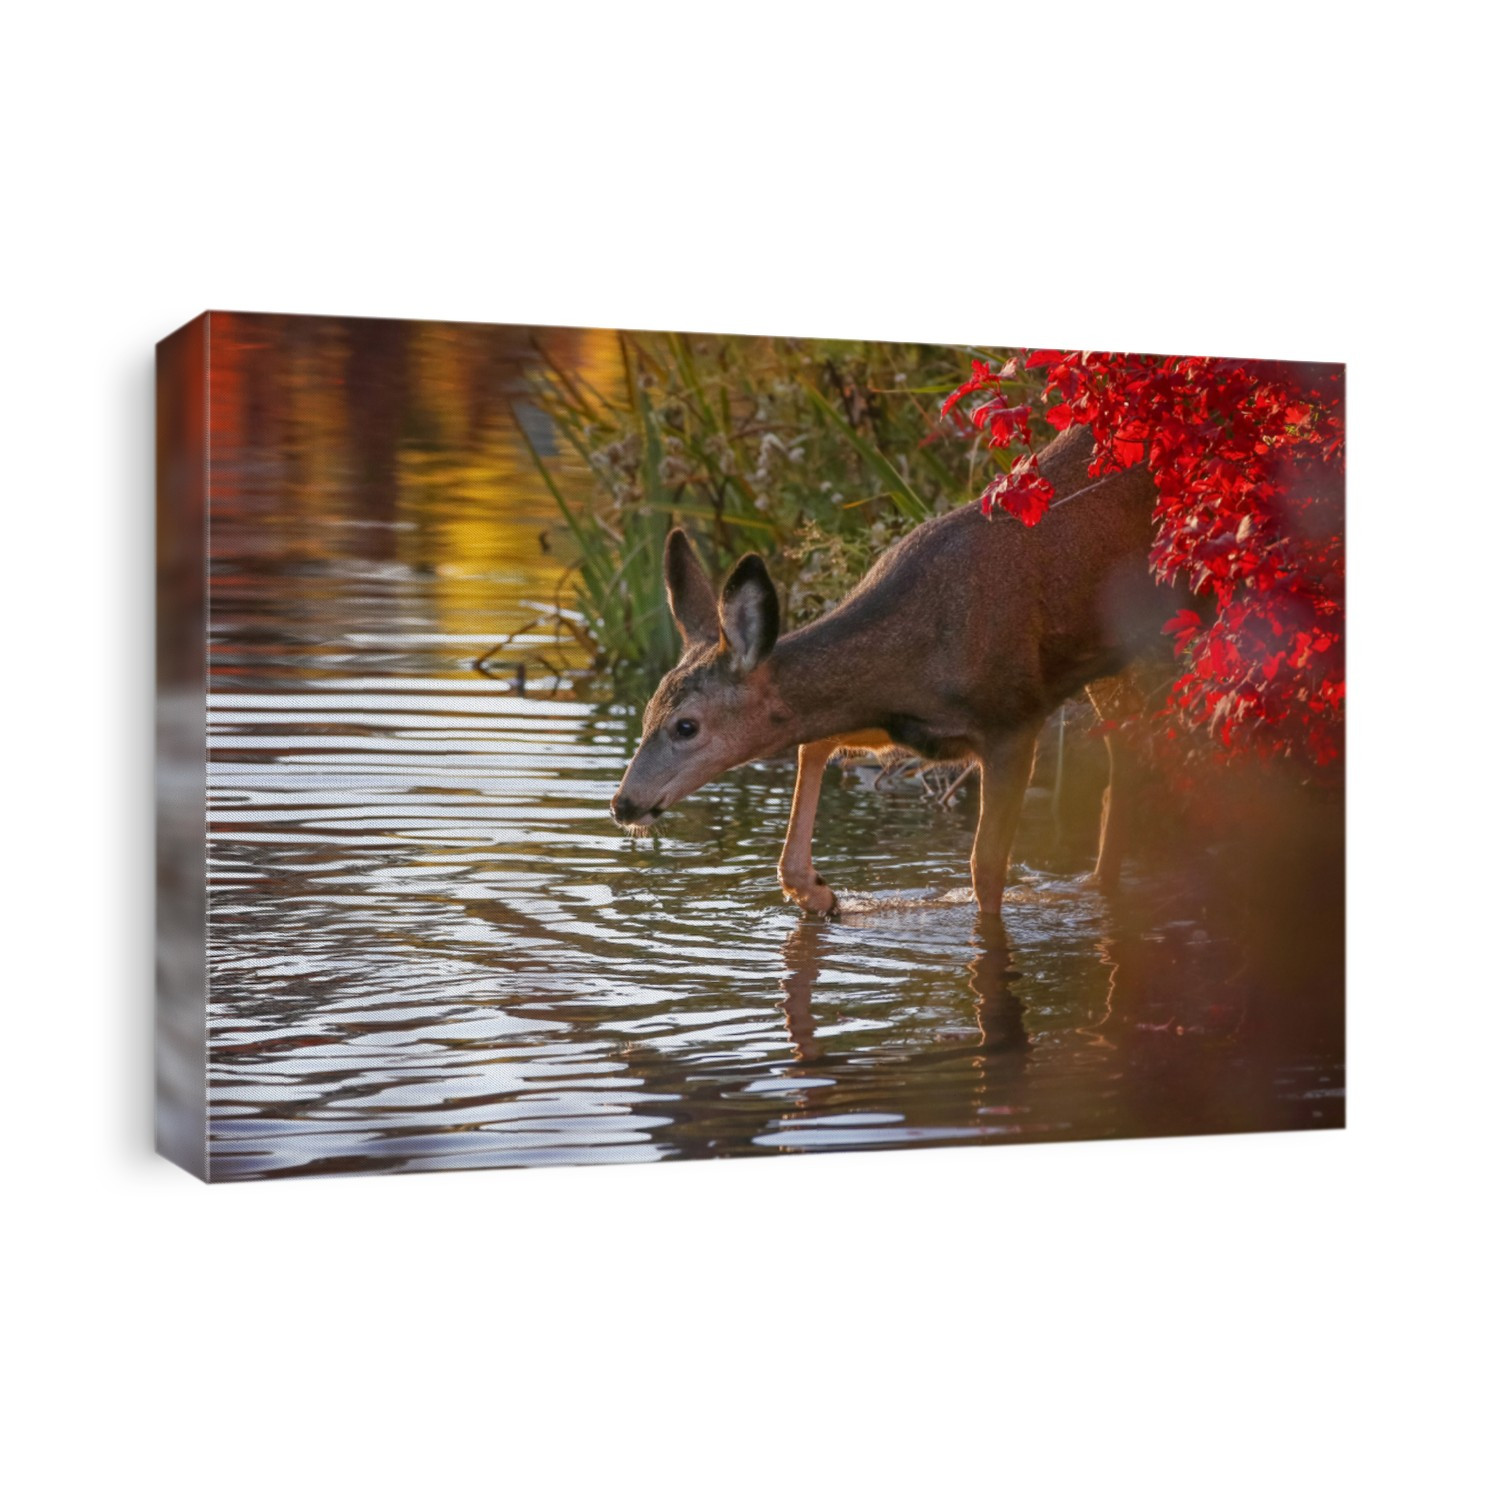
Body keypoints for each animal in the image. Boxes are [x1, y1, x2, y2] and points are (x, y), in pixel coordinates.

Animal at [608, 423, 1174, 917]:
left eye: (686, 726)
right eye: (646, 712)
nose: (623, 803)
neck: (914, 663)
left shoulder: (1014, 720)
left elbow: (986, 870)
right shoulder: (883, 724)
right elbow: (811, 744)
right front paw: (817, 891)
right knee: (1127, 753)